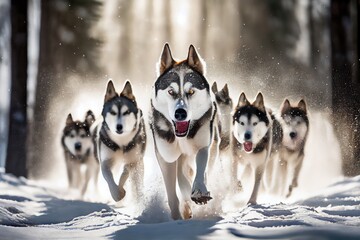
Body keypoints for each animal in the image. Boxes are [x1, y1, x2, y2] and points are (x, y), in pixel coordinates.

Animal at [150, 43, 217, 219]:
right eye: (171, 91)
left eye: (191, 91)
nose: (180, 113)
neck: (182, 136)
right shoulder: (166, 157)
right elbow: (173, 194)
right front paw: (176, 217)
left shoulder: (203, 145)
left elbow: (200, 172)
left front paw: (199, 191)